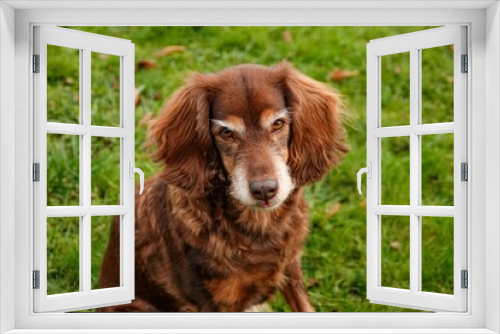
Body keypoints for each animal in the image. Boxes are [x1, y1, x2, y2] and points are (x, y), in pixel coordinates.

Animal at [96, 63, 348, 314]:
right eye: (226, 132)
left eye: (278, 124)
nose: (265, 190)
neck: (256, 227)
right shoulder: (212, 303)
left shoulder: (291, 267)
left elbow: (304, 306)